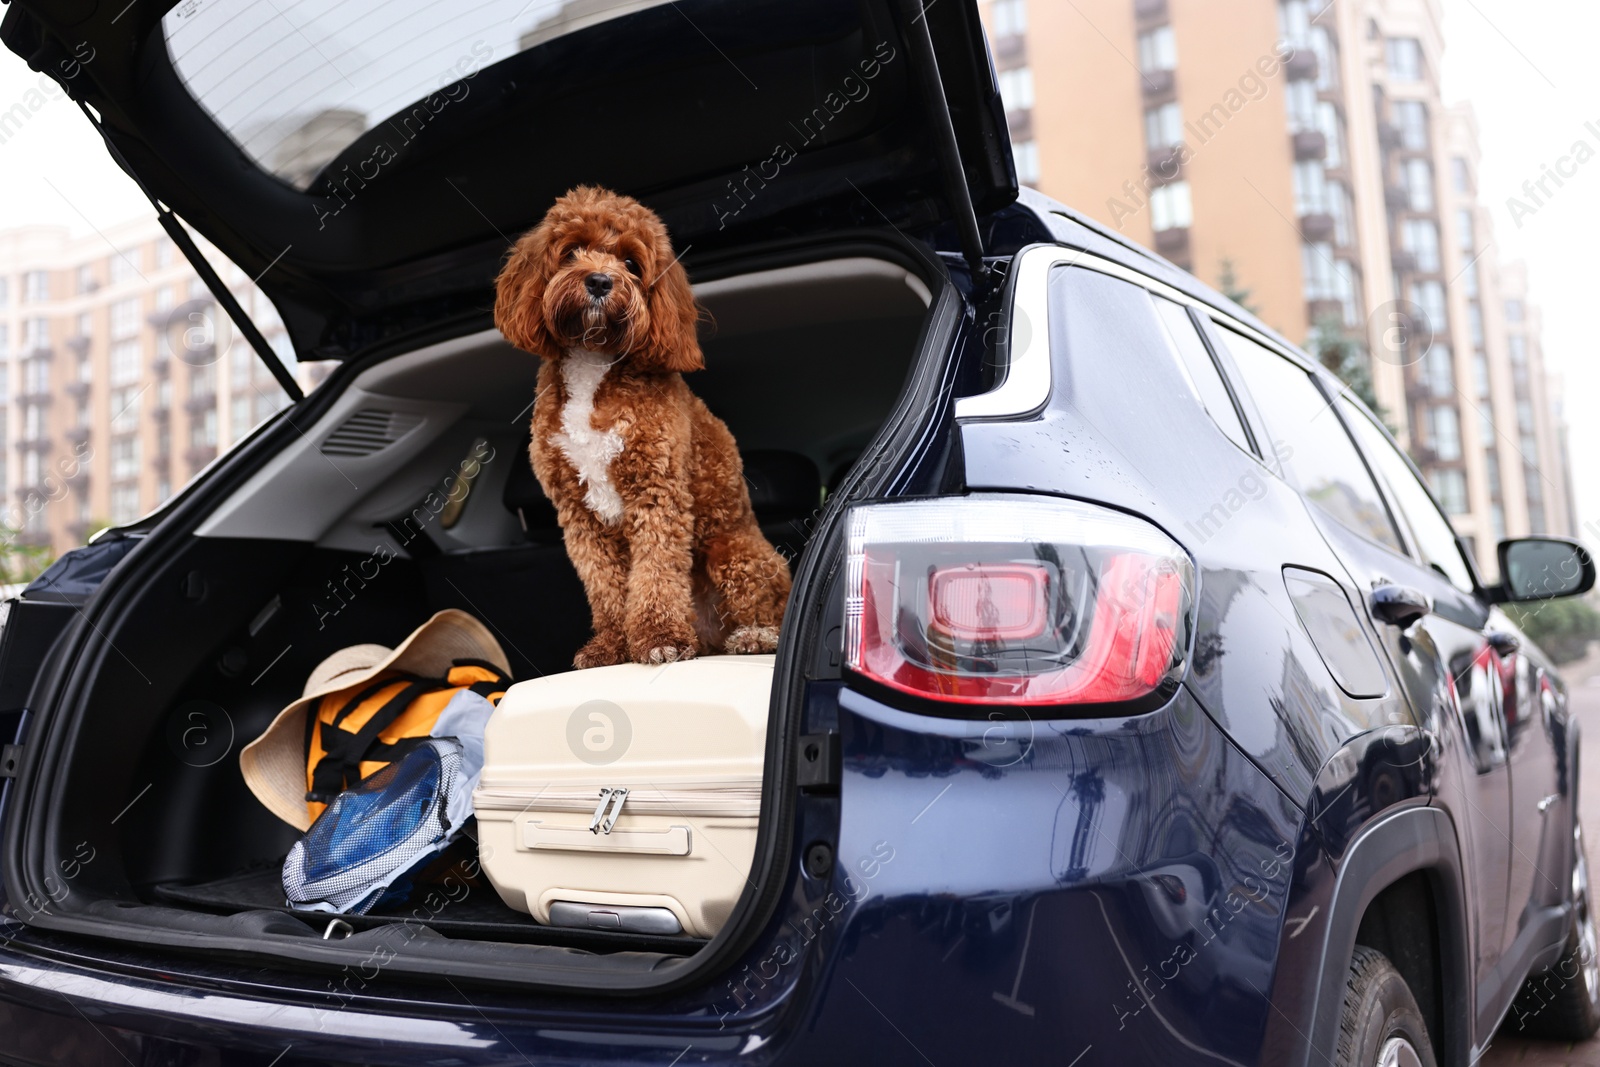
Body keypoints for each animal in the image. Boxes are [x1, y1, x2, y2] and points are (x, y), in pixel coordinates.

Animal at [486, 187, 787, 662]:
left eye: (631, 262)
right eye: (571, 252)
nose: (599, 281)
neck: (593, 362)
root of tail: (710, 636)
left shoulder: (656, 489)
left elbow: (657, 571)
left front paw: (660, 637)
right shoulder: (579, 514)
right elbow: (605, 585)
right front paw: (611, 645)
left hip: (732, 551)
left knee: (771, 607)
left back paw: (755, 637)